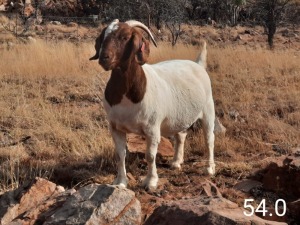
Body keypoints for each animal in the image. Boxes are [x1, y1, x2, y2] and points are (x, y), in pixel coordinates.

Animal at [89, 19, 216, 192]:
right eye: (103, 35)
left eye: (124, 37)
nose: (104, 58)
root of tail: (198, 65)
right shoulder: (115, 127)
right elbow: (120, 154)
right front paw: (120, 181)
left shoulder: (152, 128)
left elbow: (150, 155)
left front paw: (151, 181)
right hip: (179, 115)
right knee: (181, 135)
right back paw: (176, 162)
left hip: (208, 109)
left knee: (209, 138)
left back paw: (209, 168)